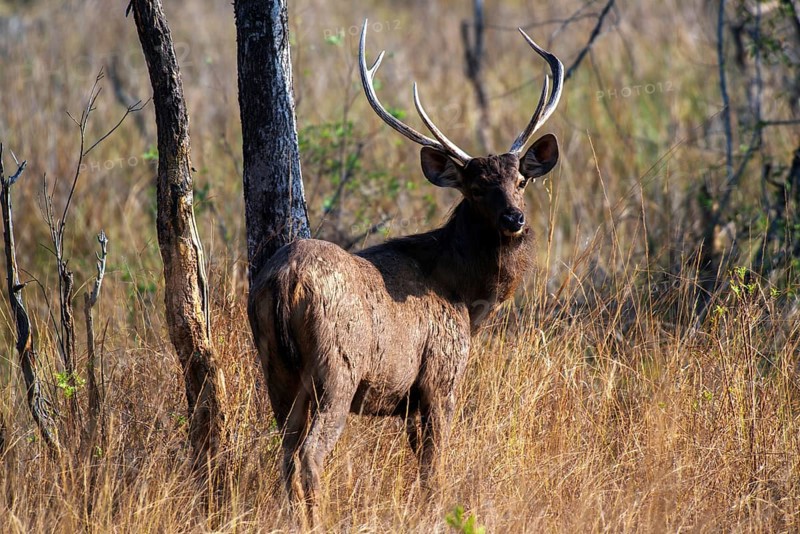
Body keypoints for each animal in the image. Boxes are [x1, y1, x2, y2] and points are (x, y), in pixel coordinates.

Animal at [247, 20, 563, 524]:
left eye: (520, 180)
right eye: (475, 187)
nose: (514, 218)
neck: (466, 297)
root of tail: (284, 282)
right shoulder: (440, 375)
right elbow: (434, 466)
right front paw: (438, 513)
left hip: (275, 367)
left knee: (285, 450)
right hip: (337, 367)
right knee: (308, 454)